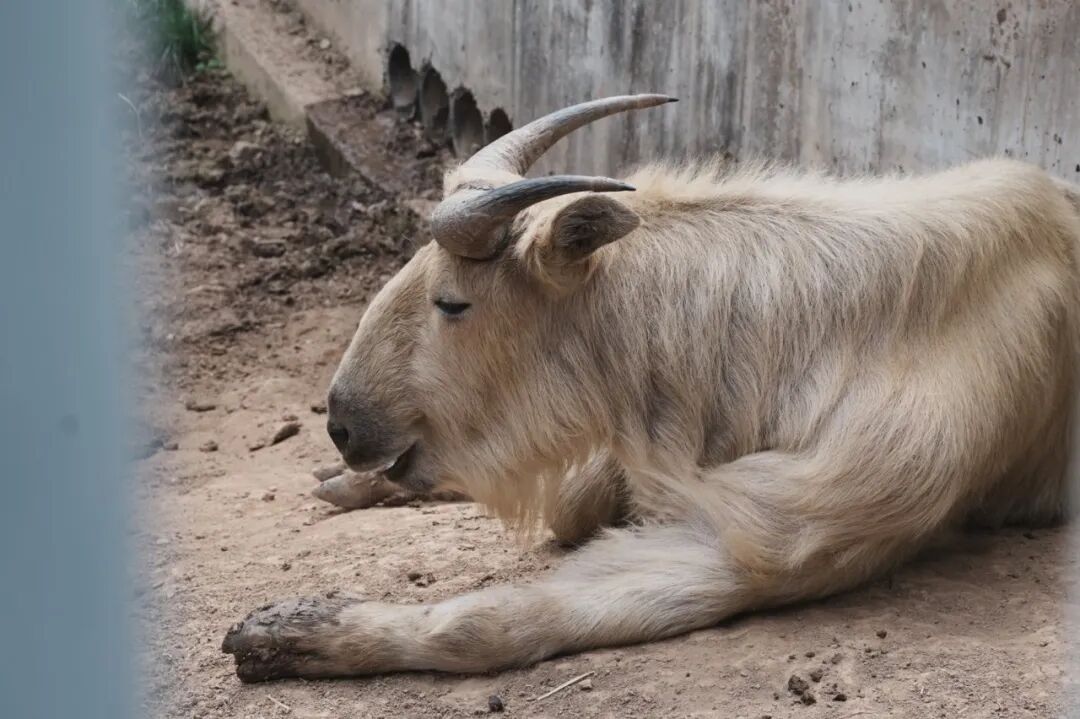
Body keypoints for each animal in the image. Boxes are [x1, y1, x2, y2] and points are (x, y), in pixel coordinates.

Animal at [222, 95, 1079, 682]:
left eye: (452, 302)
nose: (341, 421)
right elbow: (570, 505)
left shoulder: (783, 540)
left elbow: (501, 617)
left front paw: (300, 632)